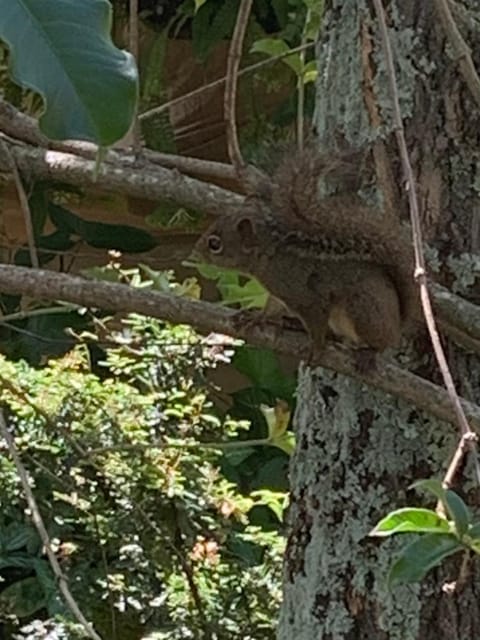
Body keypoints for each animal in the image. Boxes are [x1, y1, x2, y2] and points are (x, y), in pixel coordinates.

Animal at [193, 147, 418, 362]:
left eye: (215, 244)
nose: (195, 253)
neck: (269, 257)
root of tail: (397, 324)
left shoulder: (306, 297)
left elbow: (316, 323)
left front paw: (316, 347)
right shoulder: (279, 294)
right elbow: (272, 308)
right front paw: (257, 318)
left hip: (363, 310)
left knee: (380, 344)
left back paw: (368, 353)